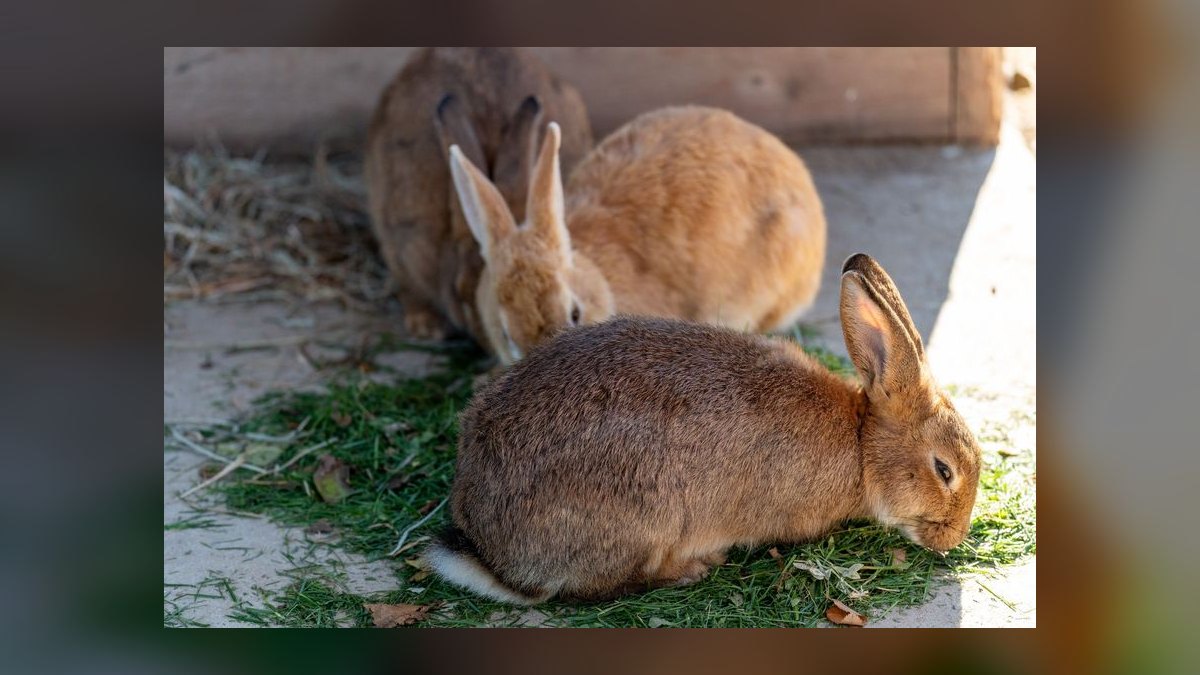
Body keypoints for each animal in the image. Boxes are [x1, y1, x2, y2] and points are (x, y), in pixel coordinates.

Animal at [424, 253, 982, 604]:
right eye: (943, 470)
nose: (953, 539)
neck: (861, 445)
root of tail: (491, 552)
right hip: (646, 518)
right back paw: (693, 567)